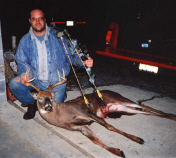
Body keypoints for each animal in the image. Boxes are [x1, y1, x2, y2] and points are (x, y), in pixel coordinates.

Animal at [24, 68, 176, 157]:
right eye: (40, 98)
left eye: (51, 97)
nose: (48, 106)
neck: (61, 115)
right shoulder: (78, 127)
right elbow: (96, 141)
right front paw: (118, 151)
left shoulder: (87, 112)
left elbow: (110, 127)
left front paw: (137, 138)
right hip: (120, 107)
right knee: (143, 111)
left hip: (120, 100)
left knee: (144, 105)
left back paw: (172, 115)